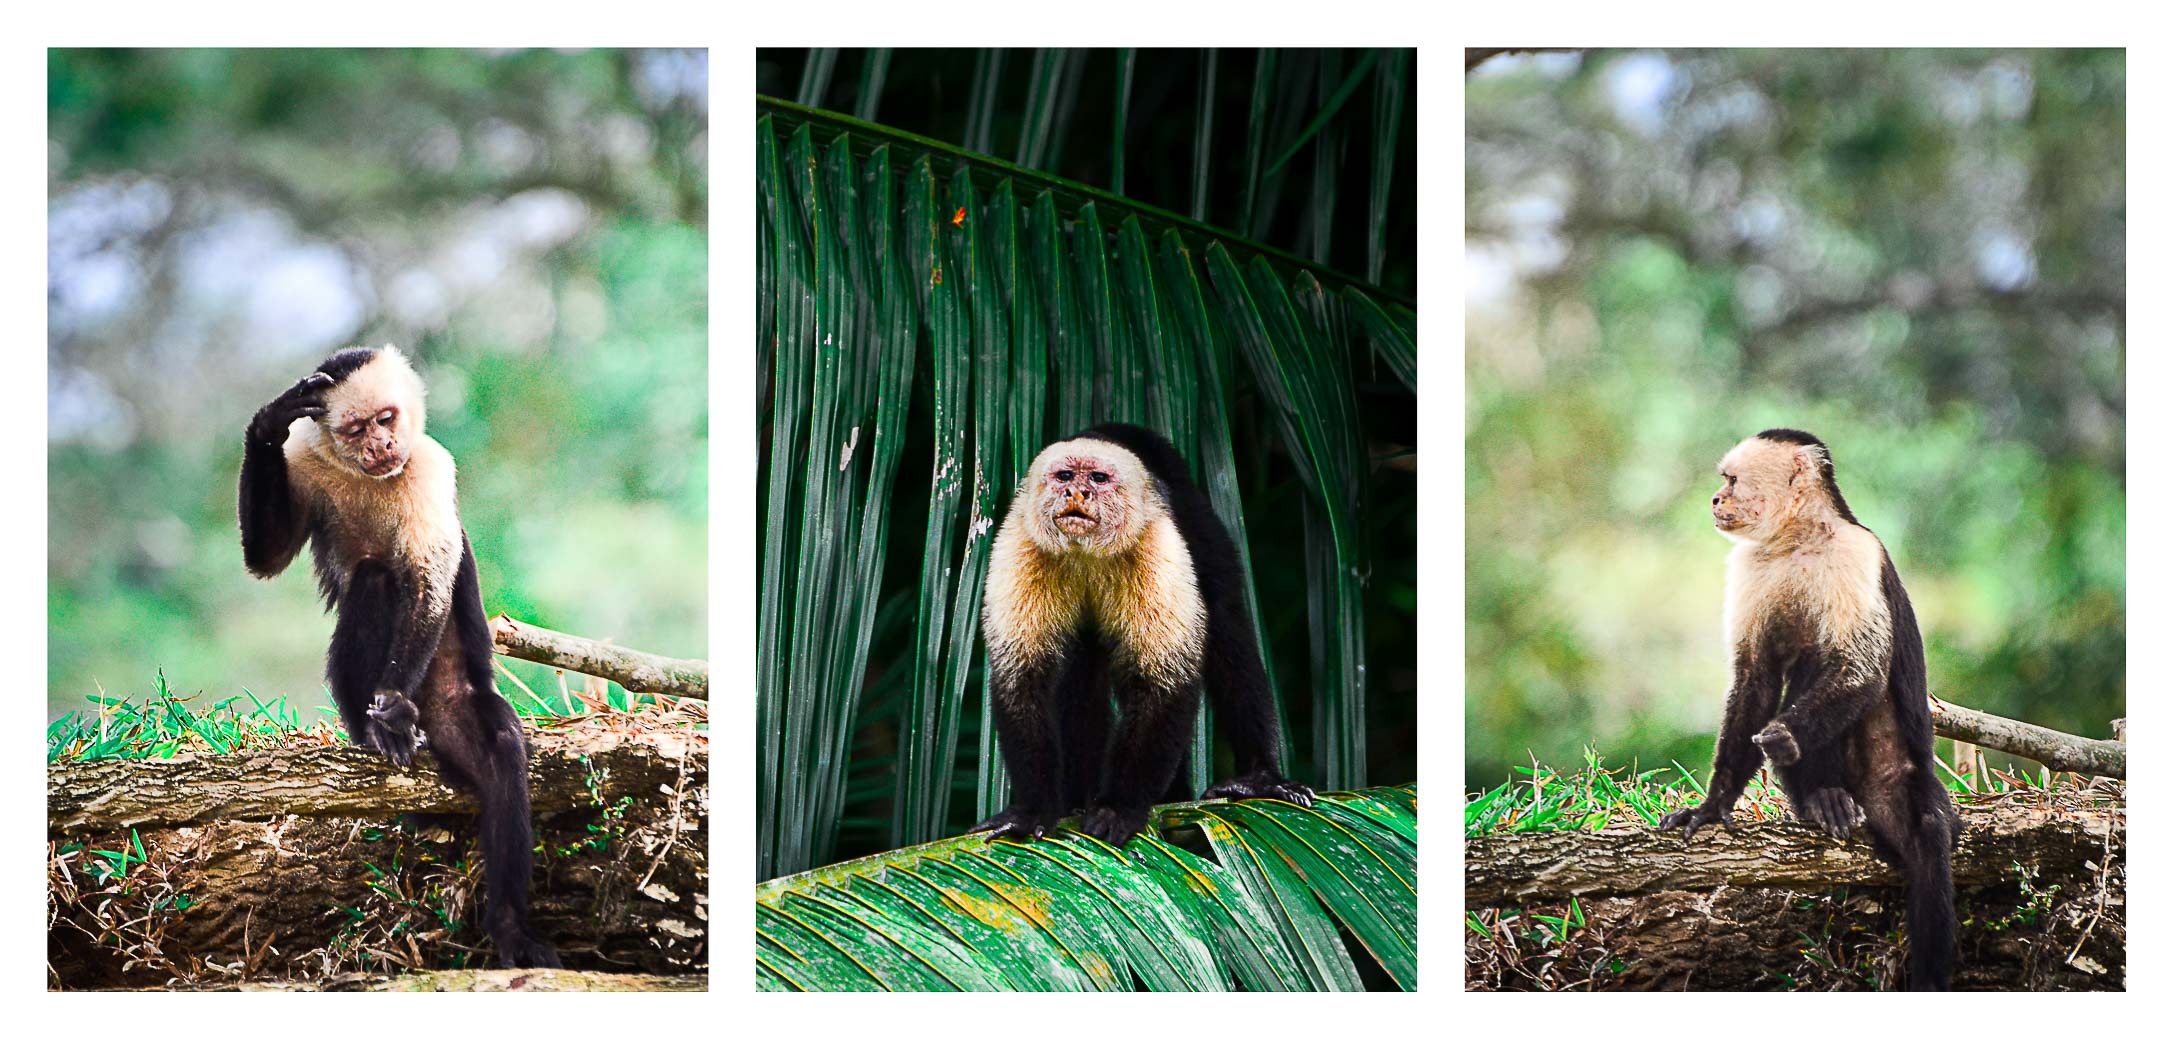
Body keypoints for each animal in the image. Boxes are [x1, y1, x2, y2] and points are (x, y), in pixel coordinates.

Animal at [239, 347, 560, 965]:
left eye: (386, 418)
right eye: (356, 428)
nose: (383, 445)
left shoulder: (430, 466)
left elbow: (430, 579)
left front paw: (392, 703)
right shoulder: (305, 463)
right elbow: (268, 556)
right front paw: (269, 420)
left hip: (454, 703)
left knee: (499, 751)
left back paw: (507, 924)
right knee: (374, 580)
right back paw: (374, 730)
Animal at [977, 421, 1312, 843]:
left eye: (1098, 479)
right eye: (1065, 476)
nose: (1076, 493)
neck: (1087, 553)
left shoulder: (1155, 545)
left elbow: (1162, 682)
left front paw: (1120, 808)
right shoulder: (1021, 542)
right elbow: (1024, 680)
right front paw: (1034, 811)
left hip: (1197, 517)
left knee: (1226, 626)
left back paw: (1259, 778)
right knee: (1079, 672)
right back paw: (1076, 798)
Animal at [1660, 428, 1973, 991]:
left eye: (1731, 480)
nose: (1715, 500)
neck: (1797, 539)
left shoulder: (1856, 553)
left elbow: (1860, 671)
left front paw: (1782, 737)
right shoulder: (1749, 564)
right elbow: (1755, 680)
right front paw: (1714, 805)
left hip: (1900, 782)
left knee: (1929, 836)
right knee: (1808, 664)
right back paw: (1823, 797)